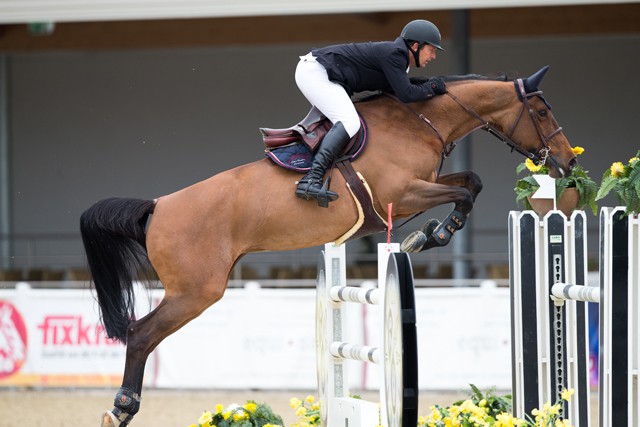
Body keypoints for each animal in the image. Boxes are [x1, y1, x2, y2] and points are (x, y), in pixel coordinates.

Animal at [79, 65, 576, 426]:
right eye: (543, 113)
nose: (567, 164)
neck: (421, 121)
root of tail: (157, 206)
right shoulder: (403, 194)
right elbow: (466, 193)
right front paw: (429, 235)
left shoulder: (422, 186)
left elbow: (469, 181)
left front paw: (429, 234)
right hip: (195, 292)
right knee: (141, 334)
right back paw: (122, 409)